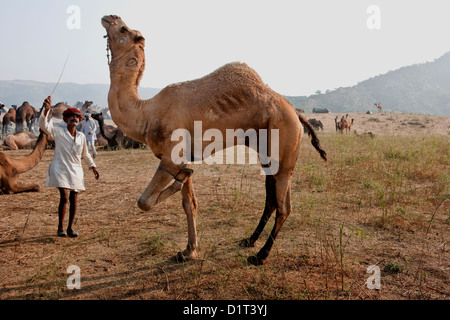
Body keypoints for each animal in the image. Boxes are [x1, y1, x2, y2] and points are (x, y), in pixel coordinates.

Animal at [101, 15, 326, 264]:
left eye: (123, 29)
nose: (109, 17)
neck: (147, 112)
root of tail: (296, 113)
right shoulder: (181, 157)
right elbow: (189, 204)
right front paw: (188, 250)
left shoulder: (171, 158)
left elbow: (144, 202)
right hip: (267, 151)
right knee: (271, 201)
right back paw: (249, 240)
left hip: (285, 145)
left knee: (284, 206)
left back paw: (260, 255)